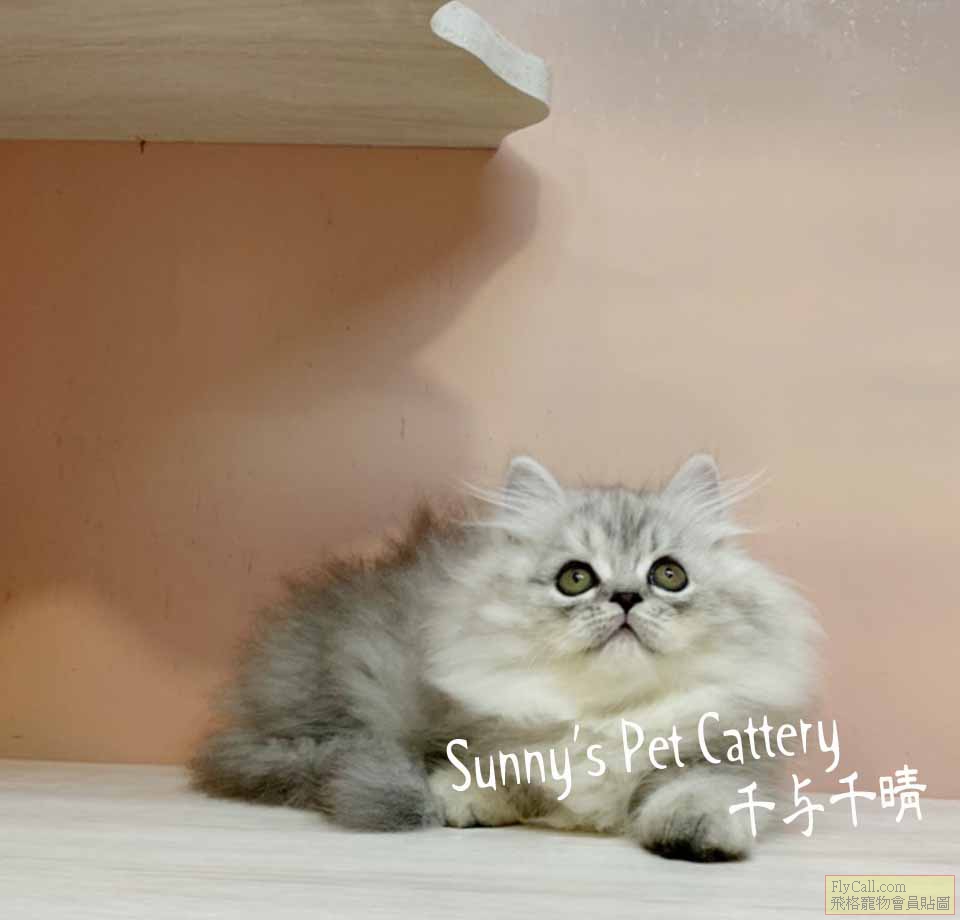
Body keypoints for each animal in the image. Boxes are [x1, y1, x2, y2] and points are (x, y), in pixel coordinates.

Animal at [191, 453, 819, 861]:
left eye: (669, 574)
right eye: (575, 578)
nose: (624, 597)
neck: (607, 716)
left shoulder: (733, 753)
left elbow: (702, 789)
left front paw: (691, 828)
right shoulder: (470, 725)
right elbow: (499, 768)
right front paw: (464, 798)